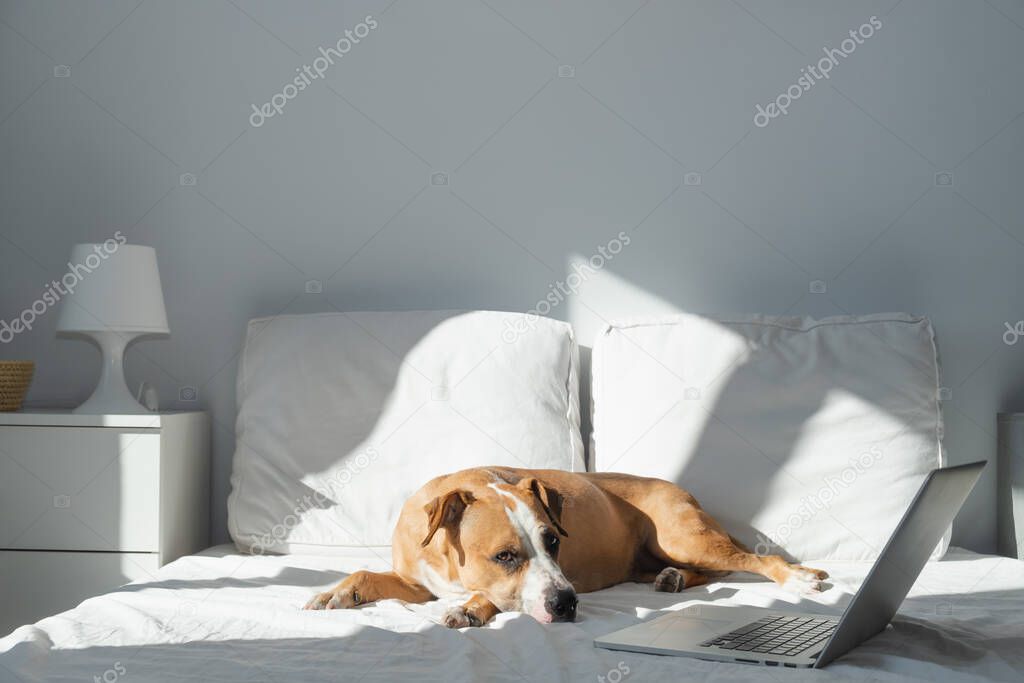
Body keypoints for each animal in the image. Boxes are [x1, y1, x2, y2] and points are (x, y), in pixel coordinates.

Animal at [299, 466, 827, 626]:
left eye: (553, 541)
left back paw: (800, 577)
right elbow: (367, 575)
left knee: (750, 560)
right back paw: (672, 579)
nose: (567, 603)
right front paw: (336, 591)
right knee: (711, 571)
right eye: (504, 555)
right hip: (657, 556)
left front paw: (471, 607)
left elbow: (488, 596)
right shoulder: (417, 582)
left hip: (685, 537)